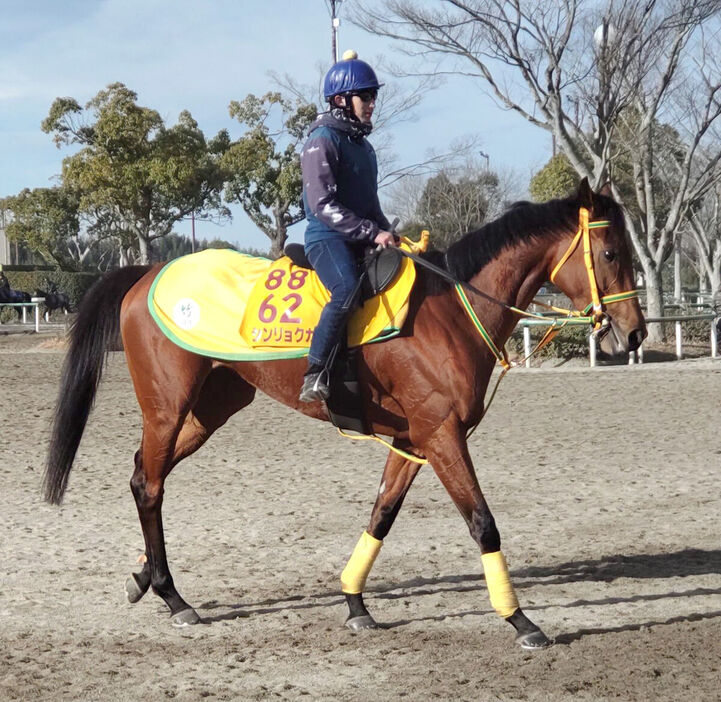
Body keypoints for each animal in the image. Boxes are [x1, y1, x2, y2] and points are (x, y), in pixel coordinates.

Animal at [42, 179, 644, 652]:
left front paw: (355, 602)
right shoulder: (443, 436)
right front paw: (520, 619)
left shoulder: (415, 440)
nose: (635, 332)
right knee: (150, 485)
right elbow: (483, 523)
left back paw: (146, 577)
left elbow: (382, 514)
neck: (450, 310)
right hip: (168, 408)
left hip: (209, 410)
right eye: (612, 254)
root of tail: (148, 273)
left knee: (144, 474)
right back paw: (173, 596)